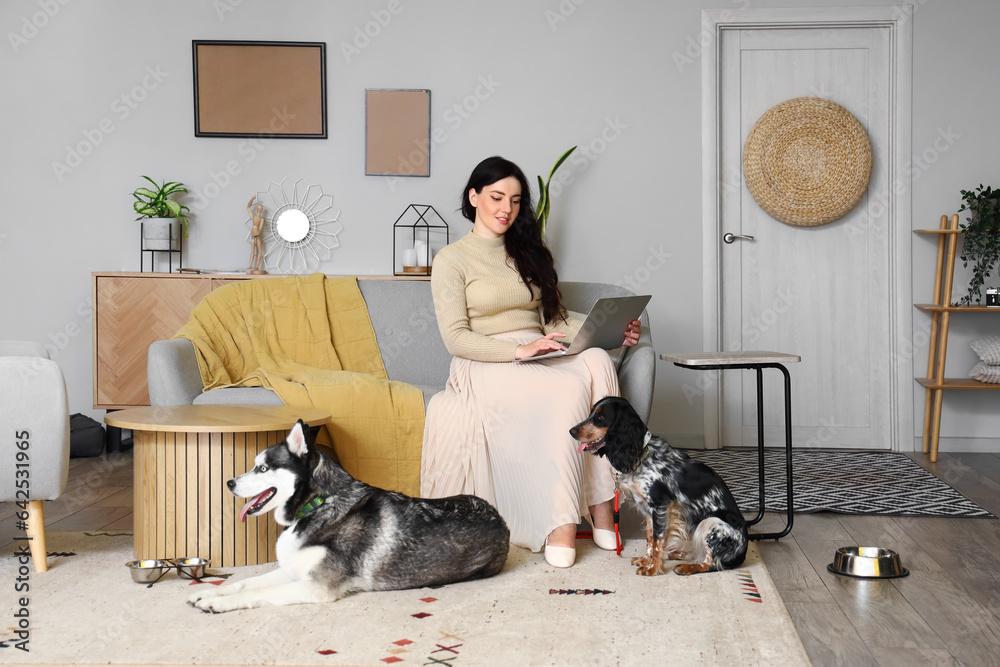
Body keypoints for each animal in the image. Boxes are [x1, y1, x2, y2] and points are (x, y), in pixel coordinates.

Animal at [189, 420, 508, 612]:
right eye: (255, 465)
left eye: (263, 468)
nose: (229, 483)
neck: (317, 504)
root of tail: (500, 518)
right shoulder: (294, 569)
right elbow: (245, 582)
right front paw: (208, 594)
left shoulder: (317, 586)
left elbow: (256, 593)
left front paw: (218, 603)